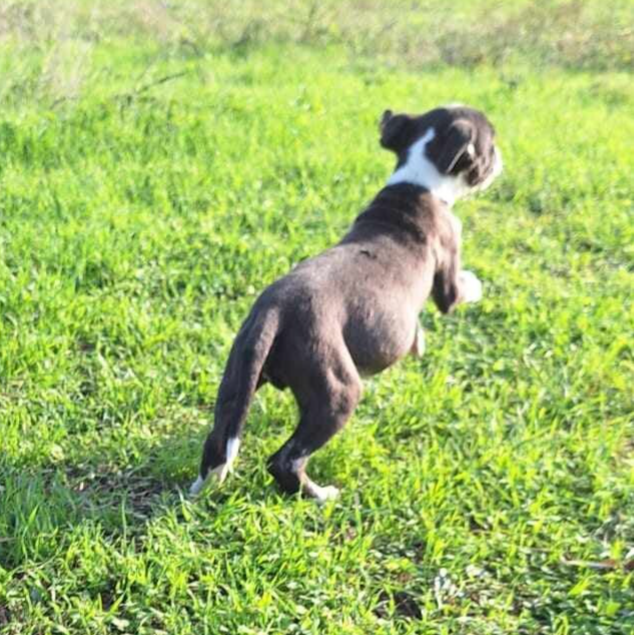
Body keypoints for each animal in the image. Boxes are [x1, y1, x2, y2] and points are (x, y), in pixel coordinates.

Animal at [190, 105, 503, 502]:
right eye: (490, 145)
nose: (500, 159)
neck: (418, 181)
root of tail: (274, 311)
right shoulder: (448, 263)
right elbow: (458, 291)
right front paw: (475, 284)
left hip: (239, 370)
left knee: (220, 436)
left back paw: (200, 486)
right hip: (337, 389)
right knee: (285, 459)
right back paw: (320, 494)